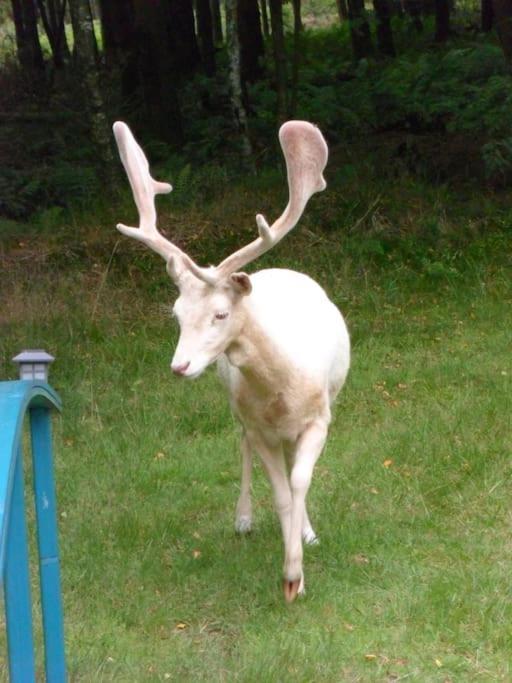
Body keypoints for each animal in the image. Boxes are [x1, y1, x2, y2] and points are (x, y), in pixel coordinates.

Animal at [113, 120, 350, 600]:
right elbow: (280, 492)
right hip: (234, 404)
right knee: (241, 442)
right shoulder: (259, 426)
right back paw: (243, 520)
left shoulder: (320, 415)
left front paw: (300, 554)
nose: (180, 366)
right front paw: (291, 575)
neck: (283, 391)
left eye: (221, 314)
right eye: (176, 313)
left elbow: (300, 480)